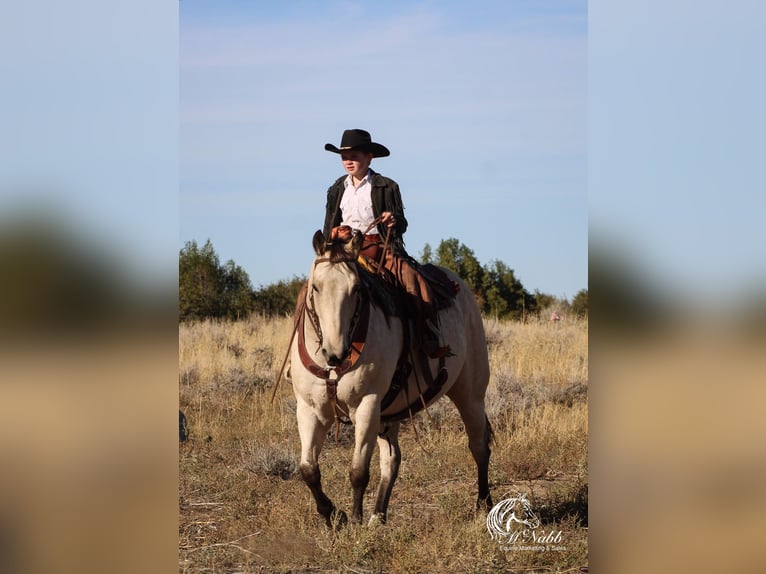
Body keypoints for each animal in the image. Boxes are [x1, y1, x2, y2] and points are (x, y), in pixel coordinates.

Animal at [290, 232, 498, 528]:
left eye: (356, 288)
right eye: (316, 287)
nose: (335, 353)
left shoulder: (366, 405)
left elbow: (358, 471)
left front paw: (354, 520)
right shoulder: (310, 409)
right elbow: (308, 469)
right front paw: (333, 515)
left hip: (470, 394)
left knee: (479, 445)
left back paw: (484, 504)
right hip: (390, 413)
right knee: (392, 459)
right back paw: (378, 515)